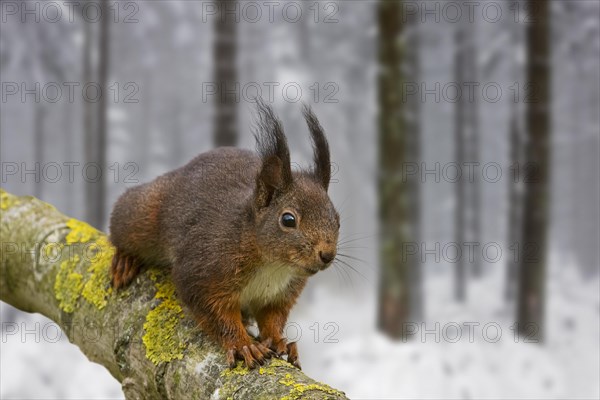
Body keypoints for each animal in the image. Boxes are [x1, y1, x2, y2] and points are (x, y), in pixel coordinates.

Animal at [109, 101, 340, 368]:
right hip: (144, 216)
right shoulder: (205, 268)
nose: (327, 254)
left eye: (337, 219)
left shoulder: (281, 293)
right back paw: (124, 260)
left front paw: (279, 341)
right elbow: (215, 313)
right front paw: (243, 345)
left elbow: (272, 317)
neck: (272, 265)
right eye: (288, 220)